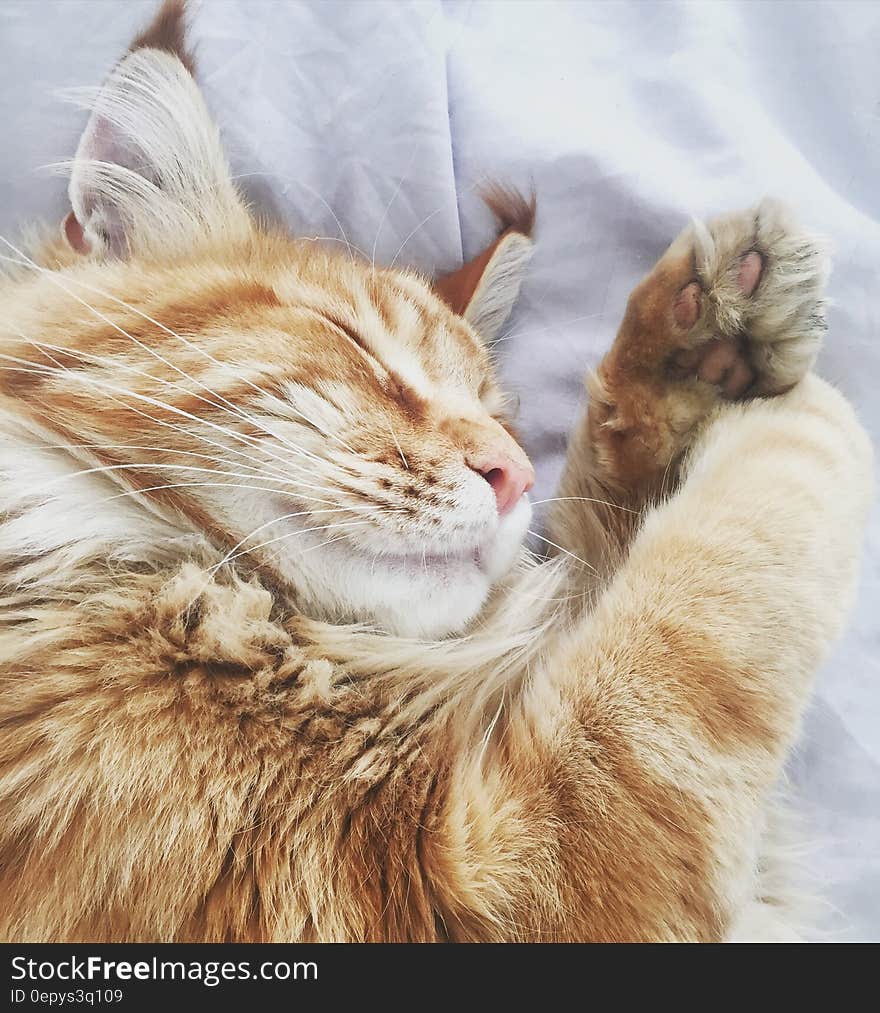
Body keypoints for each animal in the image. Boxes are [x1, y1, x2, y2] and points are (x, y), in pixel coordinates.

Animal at [0, 0, 866, 940]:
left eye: (496, 411)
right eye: (355, 344)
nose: (516, 472)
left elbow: (603, 541)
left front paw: (701, 344)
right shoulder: (482, 880)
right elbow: (717, 582)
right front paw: (798, 410)